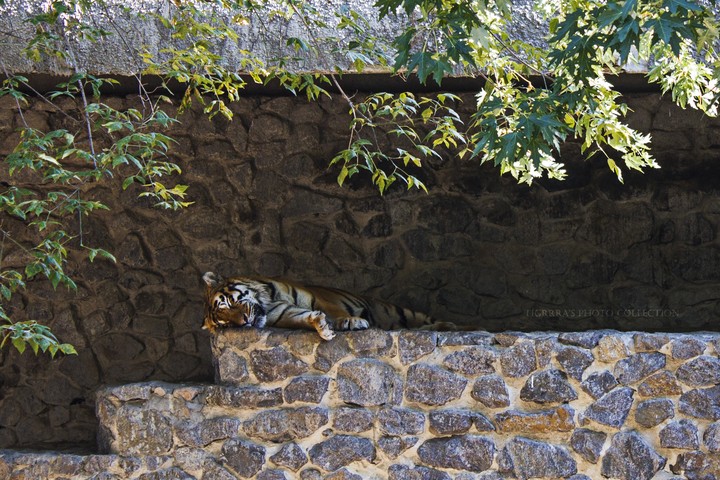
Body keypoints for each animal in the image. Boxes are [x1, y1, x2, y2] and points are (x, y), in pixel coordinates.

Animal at [202, 271, 458, 340]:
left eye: (230, 302)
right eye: (226, 323)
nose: (244, 322)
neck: (267, 301)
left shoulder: (322, 300)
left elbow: (337, 311)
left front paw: (351, 321)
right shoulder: (285, 314)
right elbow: (304, 318)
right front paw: (321, 326)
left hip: (398, 311)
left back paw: (447, 325)